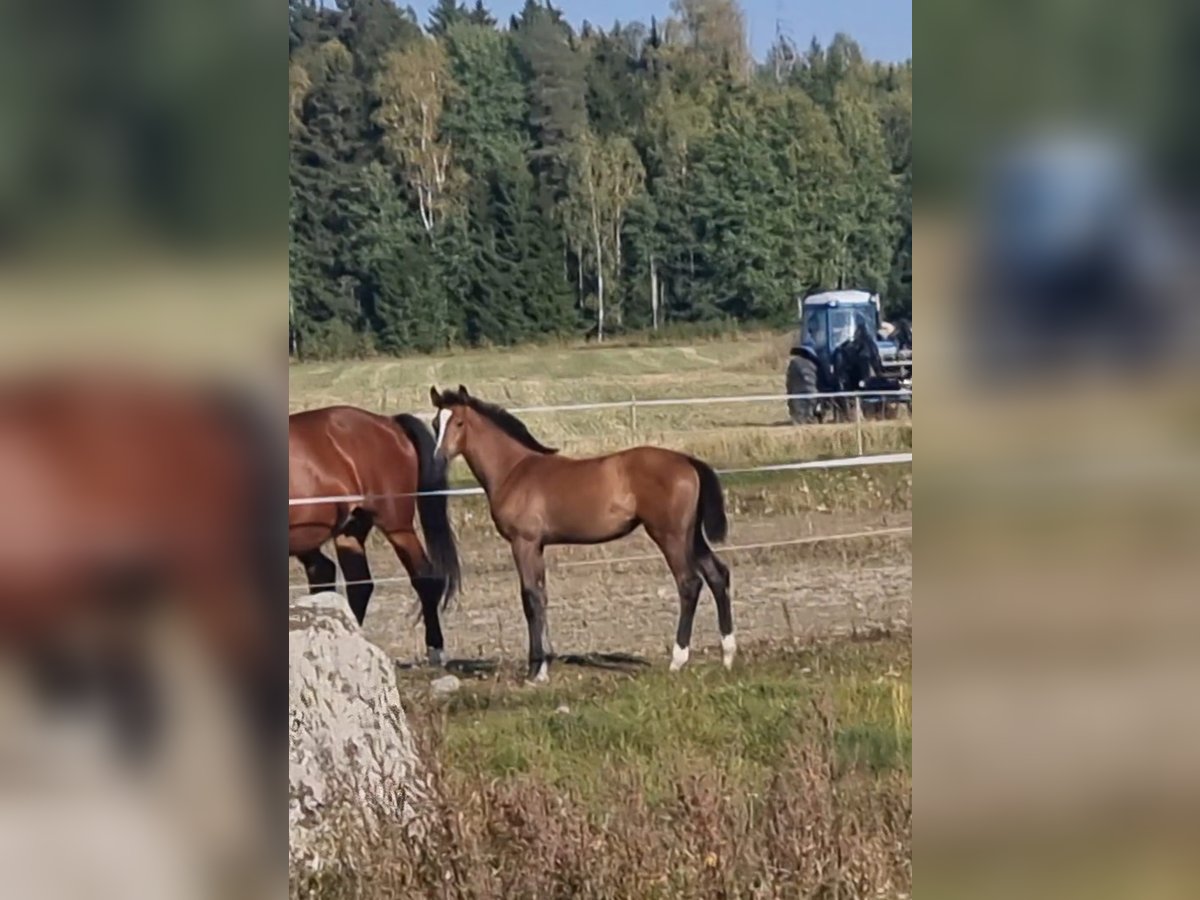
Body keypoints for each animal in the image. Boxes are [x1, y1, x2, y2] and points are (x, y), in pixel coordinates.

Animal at [288, 405, 460, 667]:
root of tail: (389, 423)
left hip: (396, 525)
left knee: (424, 577)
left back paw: (435, 648)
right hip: (345, 532)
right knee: (351, 582)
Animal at [432, 381, 729, 681]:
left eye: (458, 422)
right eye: (435, 423)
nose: (439, 458)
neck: (513, 470)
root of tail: (687, 461)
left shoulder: (523, 542)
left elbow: (530, 598)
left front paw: (535, 670)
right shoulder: (537, 546)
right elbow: (541, 595)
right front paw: (544, 664)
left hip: (670, 535)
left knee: (689, 583)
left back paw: (678, 660)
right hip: (692, 536)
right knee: (718, 575)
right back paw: (728, 655)